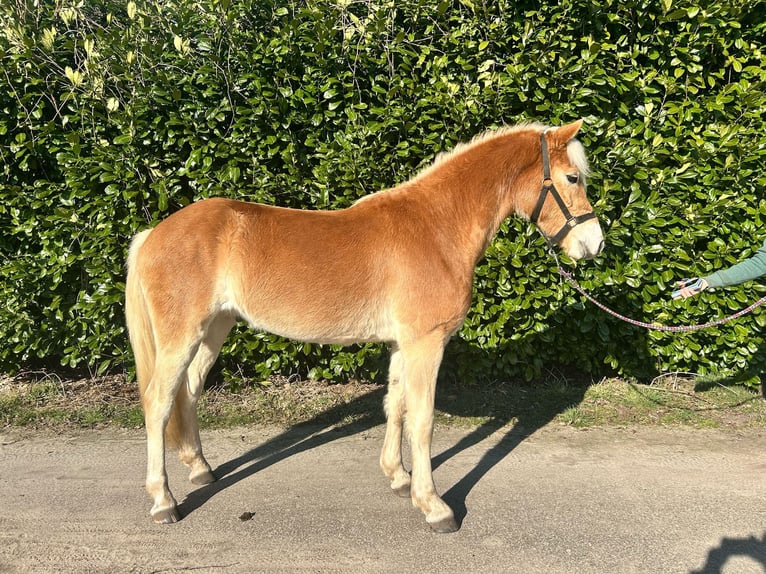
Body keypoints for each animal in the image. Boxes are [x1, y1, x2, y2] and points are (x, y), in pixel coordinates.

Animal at [124, 120, 608, 536]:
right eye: (572, 178)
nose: (594, 244)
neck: (437, 227)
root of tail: (151, 235)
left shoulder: (402, 344)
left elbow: (396, 407)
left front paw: (398, 477)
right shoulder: (426, 343)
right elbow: (423, 421)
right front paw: (434, 506)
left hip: (214, 329)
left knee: (188, 392)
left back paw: (200, 469)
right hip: (182, 336)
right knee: (158, 402)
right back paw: (164, 501)